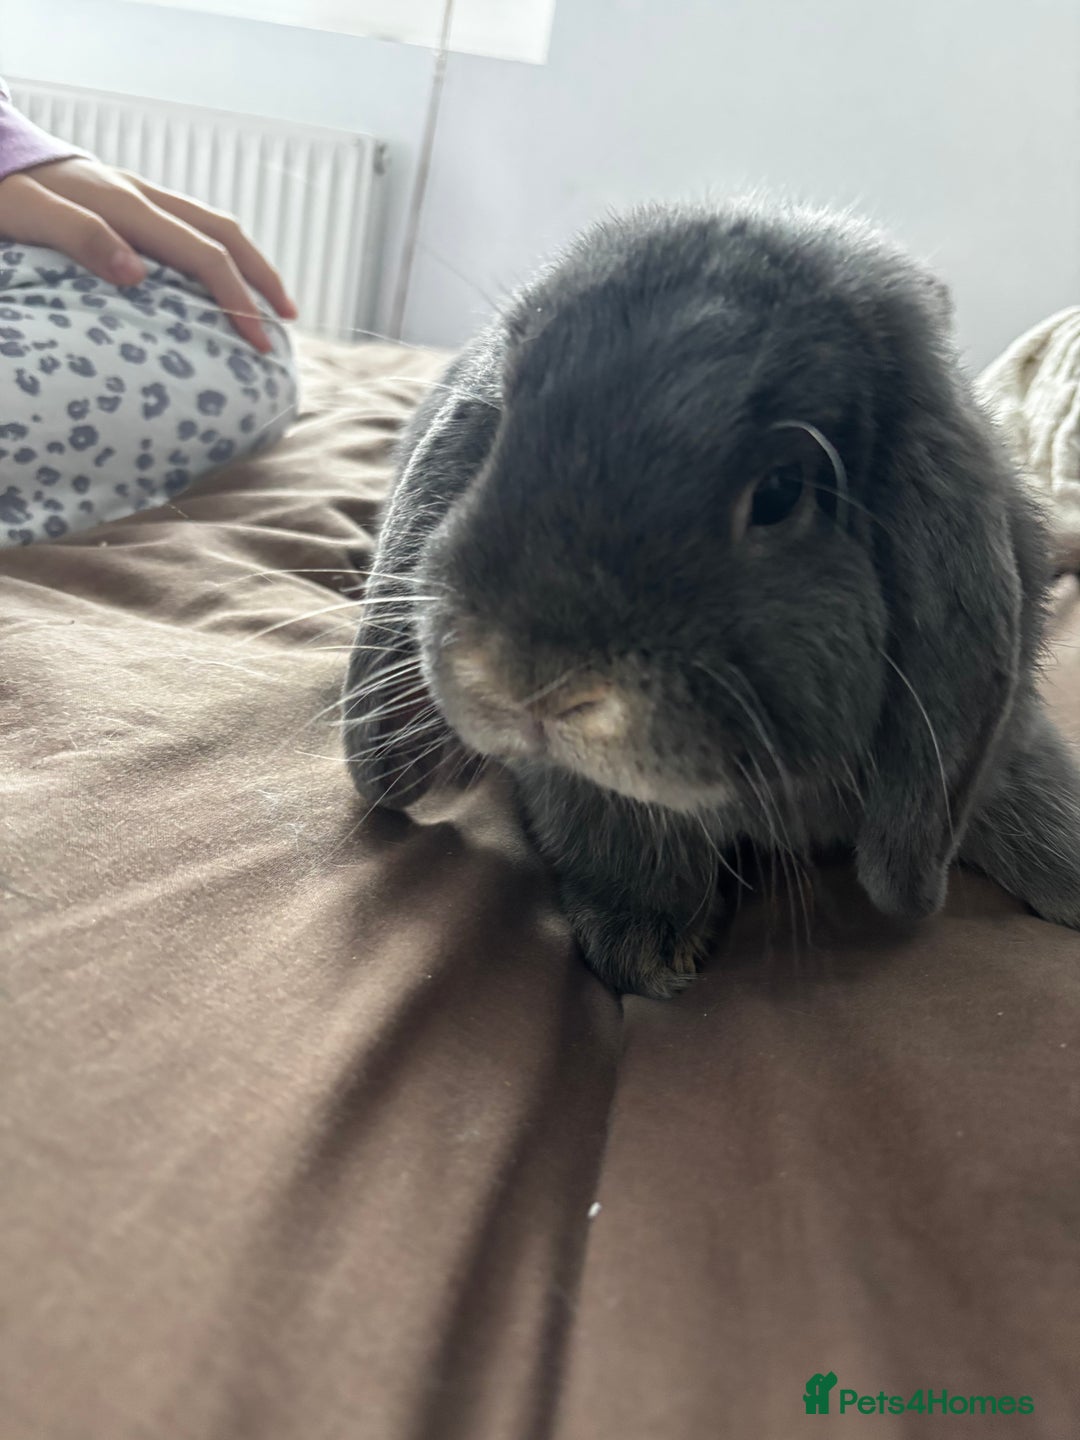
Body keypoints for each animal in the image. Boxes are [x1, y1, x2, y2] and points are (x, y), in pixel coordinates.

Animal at [343, 198, 1080, 998]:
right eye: (501, 421)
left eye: (782, 490)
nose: (528, 680)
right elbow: (626, 832)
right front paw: (649, 947)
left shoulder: (1007, 743)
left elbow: (1040, 804)